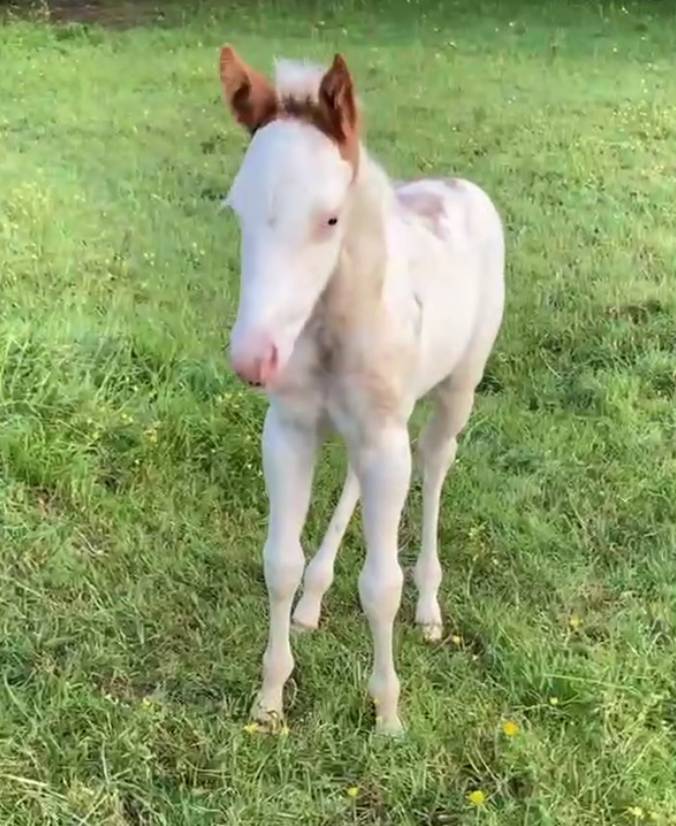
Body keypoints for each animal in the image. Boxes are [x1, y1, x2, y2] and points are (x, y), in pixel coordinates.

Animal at [219, 46, 505, 734]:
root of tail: (462, 187)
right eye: (238, 210)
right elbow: (279, 563)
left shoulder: (384, 440)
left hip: (453, 392)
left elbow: (381, 586)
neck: (330, 331)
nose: (253, 359)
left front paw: (388, 716)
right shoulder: (290, 431)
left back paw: (429, 608)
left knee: (436, 464)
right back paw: (312, 601)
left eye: (330, 218)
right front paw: (270, 701)